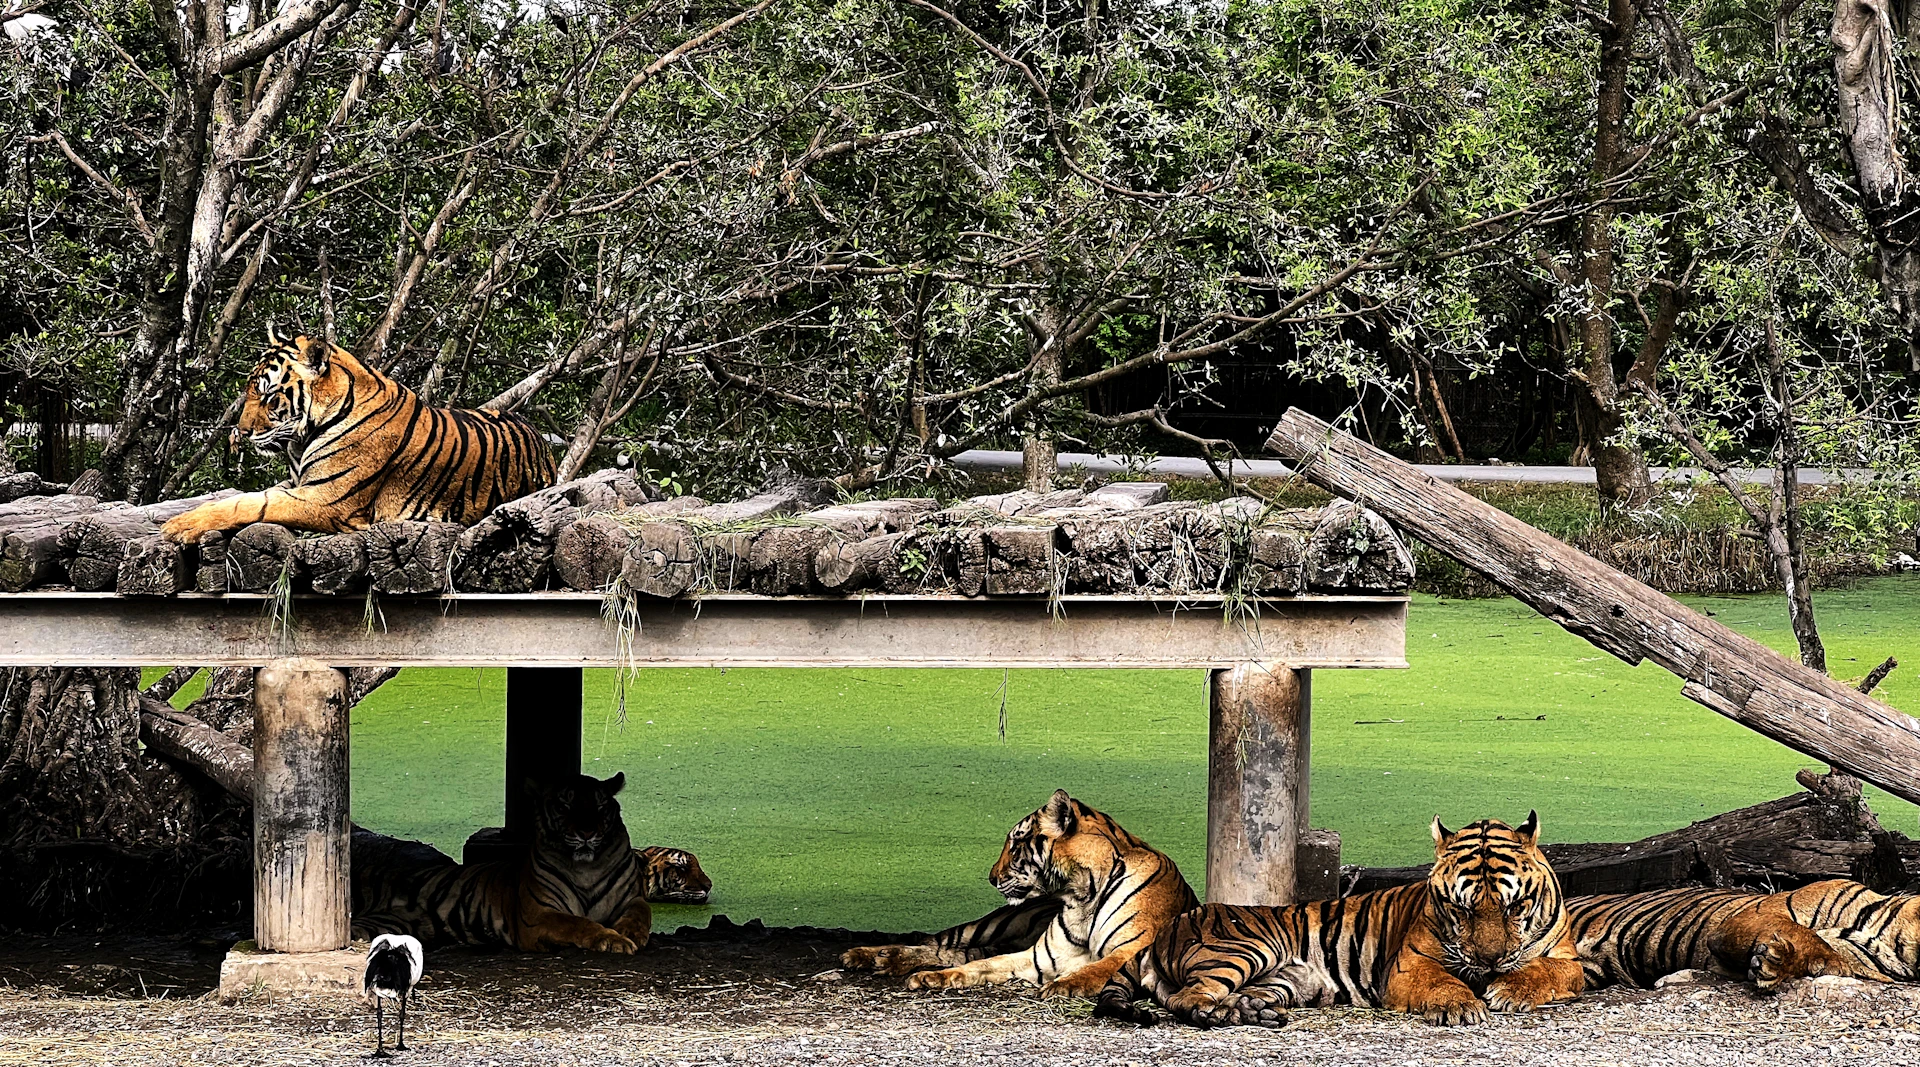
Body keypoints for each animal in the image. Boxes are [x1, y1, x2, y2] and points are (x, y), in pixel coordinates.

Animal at [159, 328, 554, 543]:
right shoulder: (298, 484)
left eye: (269, 397)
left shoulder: (325, 499)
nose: (240, 433)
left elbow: (253, 504)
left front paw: (178, 526)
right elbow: (248, 497)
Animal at [351, 773, 651, 953]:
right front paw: (612, 940)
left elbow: (641, 913)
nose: (587, 833)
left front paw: (628, 933)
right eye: (564, 806)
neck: (587, 867)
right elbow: (578, 923)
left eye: (600, 807)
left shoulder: (632, 897)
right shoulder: (539, 915)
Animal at [841, 789, 1197, 997]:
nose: (990, 878)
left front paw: (1063, 985)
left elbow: (1097, 968)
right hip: (991, 924)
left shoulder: (1131, 949)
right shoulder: (1036, 957)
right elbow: (981, 966)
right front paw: (932, 978)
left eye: (1014, 845)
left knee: (950, 950)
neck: (1082, 892)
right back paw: (866, 955)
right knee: (937, 942)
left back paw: (885, 960)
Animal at [1094, 813, 1584, 1028]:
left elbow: (1542, 970)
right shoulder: (1409, 967)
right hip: (1244, 949)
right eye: (1462, 909)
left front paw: (1509, 990)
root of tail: (1165, 931)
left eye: (1513, 907)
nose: (1490, 963)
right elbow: (1442, 982)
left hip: (1286, 980)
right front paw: (1461, 1005)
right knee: (1187, 999)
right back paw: (1224, 1015)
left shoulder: (1567, 961)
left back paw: (1252, 1012)